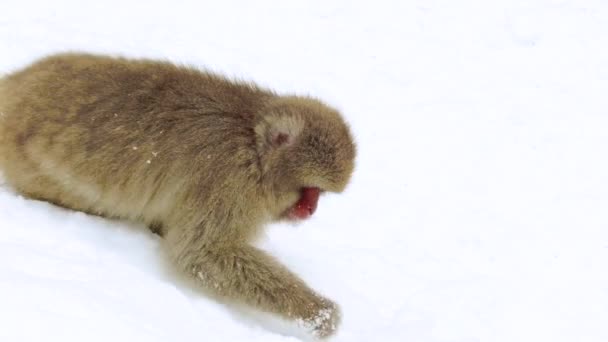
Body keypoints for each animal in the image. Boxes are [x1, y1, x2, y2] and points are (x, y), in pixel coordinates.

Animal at [0, 53, 356, 340]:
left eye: (318, 195)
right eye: (310, 191)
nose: (310, 210)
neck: (252, 145)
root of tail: (13, 86)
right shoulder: (229, 180)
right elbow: (201, 252)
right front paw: (318, 313)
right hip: (29, 166)